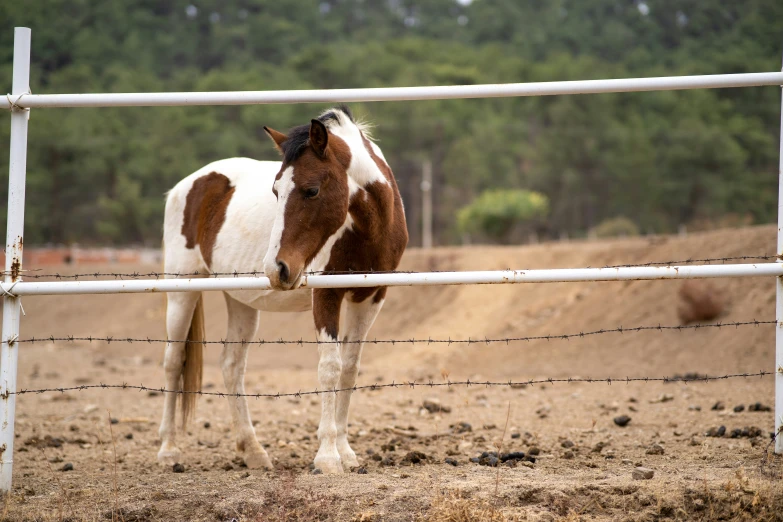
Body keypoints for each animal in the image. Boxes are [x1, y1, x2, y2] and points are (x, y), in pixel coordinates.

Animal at [156, 104, 408, 472]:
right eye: (276, 191)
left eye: (312, 190)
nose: (277, 269)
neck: (367, 228)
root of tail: (190, 184)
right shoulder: (326, 295)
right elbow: (329, 368)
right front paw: (327, 456)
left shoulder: (371, 296)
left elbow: (349, 368)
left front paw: (346, 452)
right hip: (182, 290)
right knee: (174, 361)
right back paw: (169, 450)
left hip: (241, 301)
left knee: (232, 365)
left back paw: (253, 451)